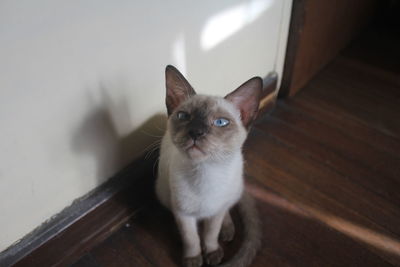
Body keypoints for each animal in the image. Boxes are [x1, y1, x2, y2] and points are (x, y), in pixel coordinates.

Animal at [156, 65, 262, 267]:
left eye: (221, 122)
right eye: (183, 116)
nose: (195, 132)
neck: (205, 172)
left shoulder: (215, 212)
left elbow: (211, 234)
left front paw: (212, 253)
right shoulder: (183, 213)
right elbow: (191, 238)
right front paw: (193, 259)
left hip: (234, 191)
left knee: (227, 211)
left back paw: (227, 231)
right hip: (164, 194)